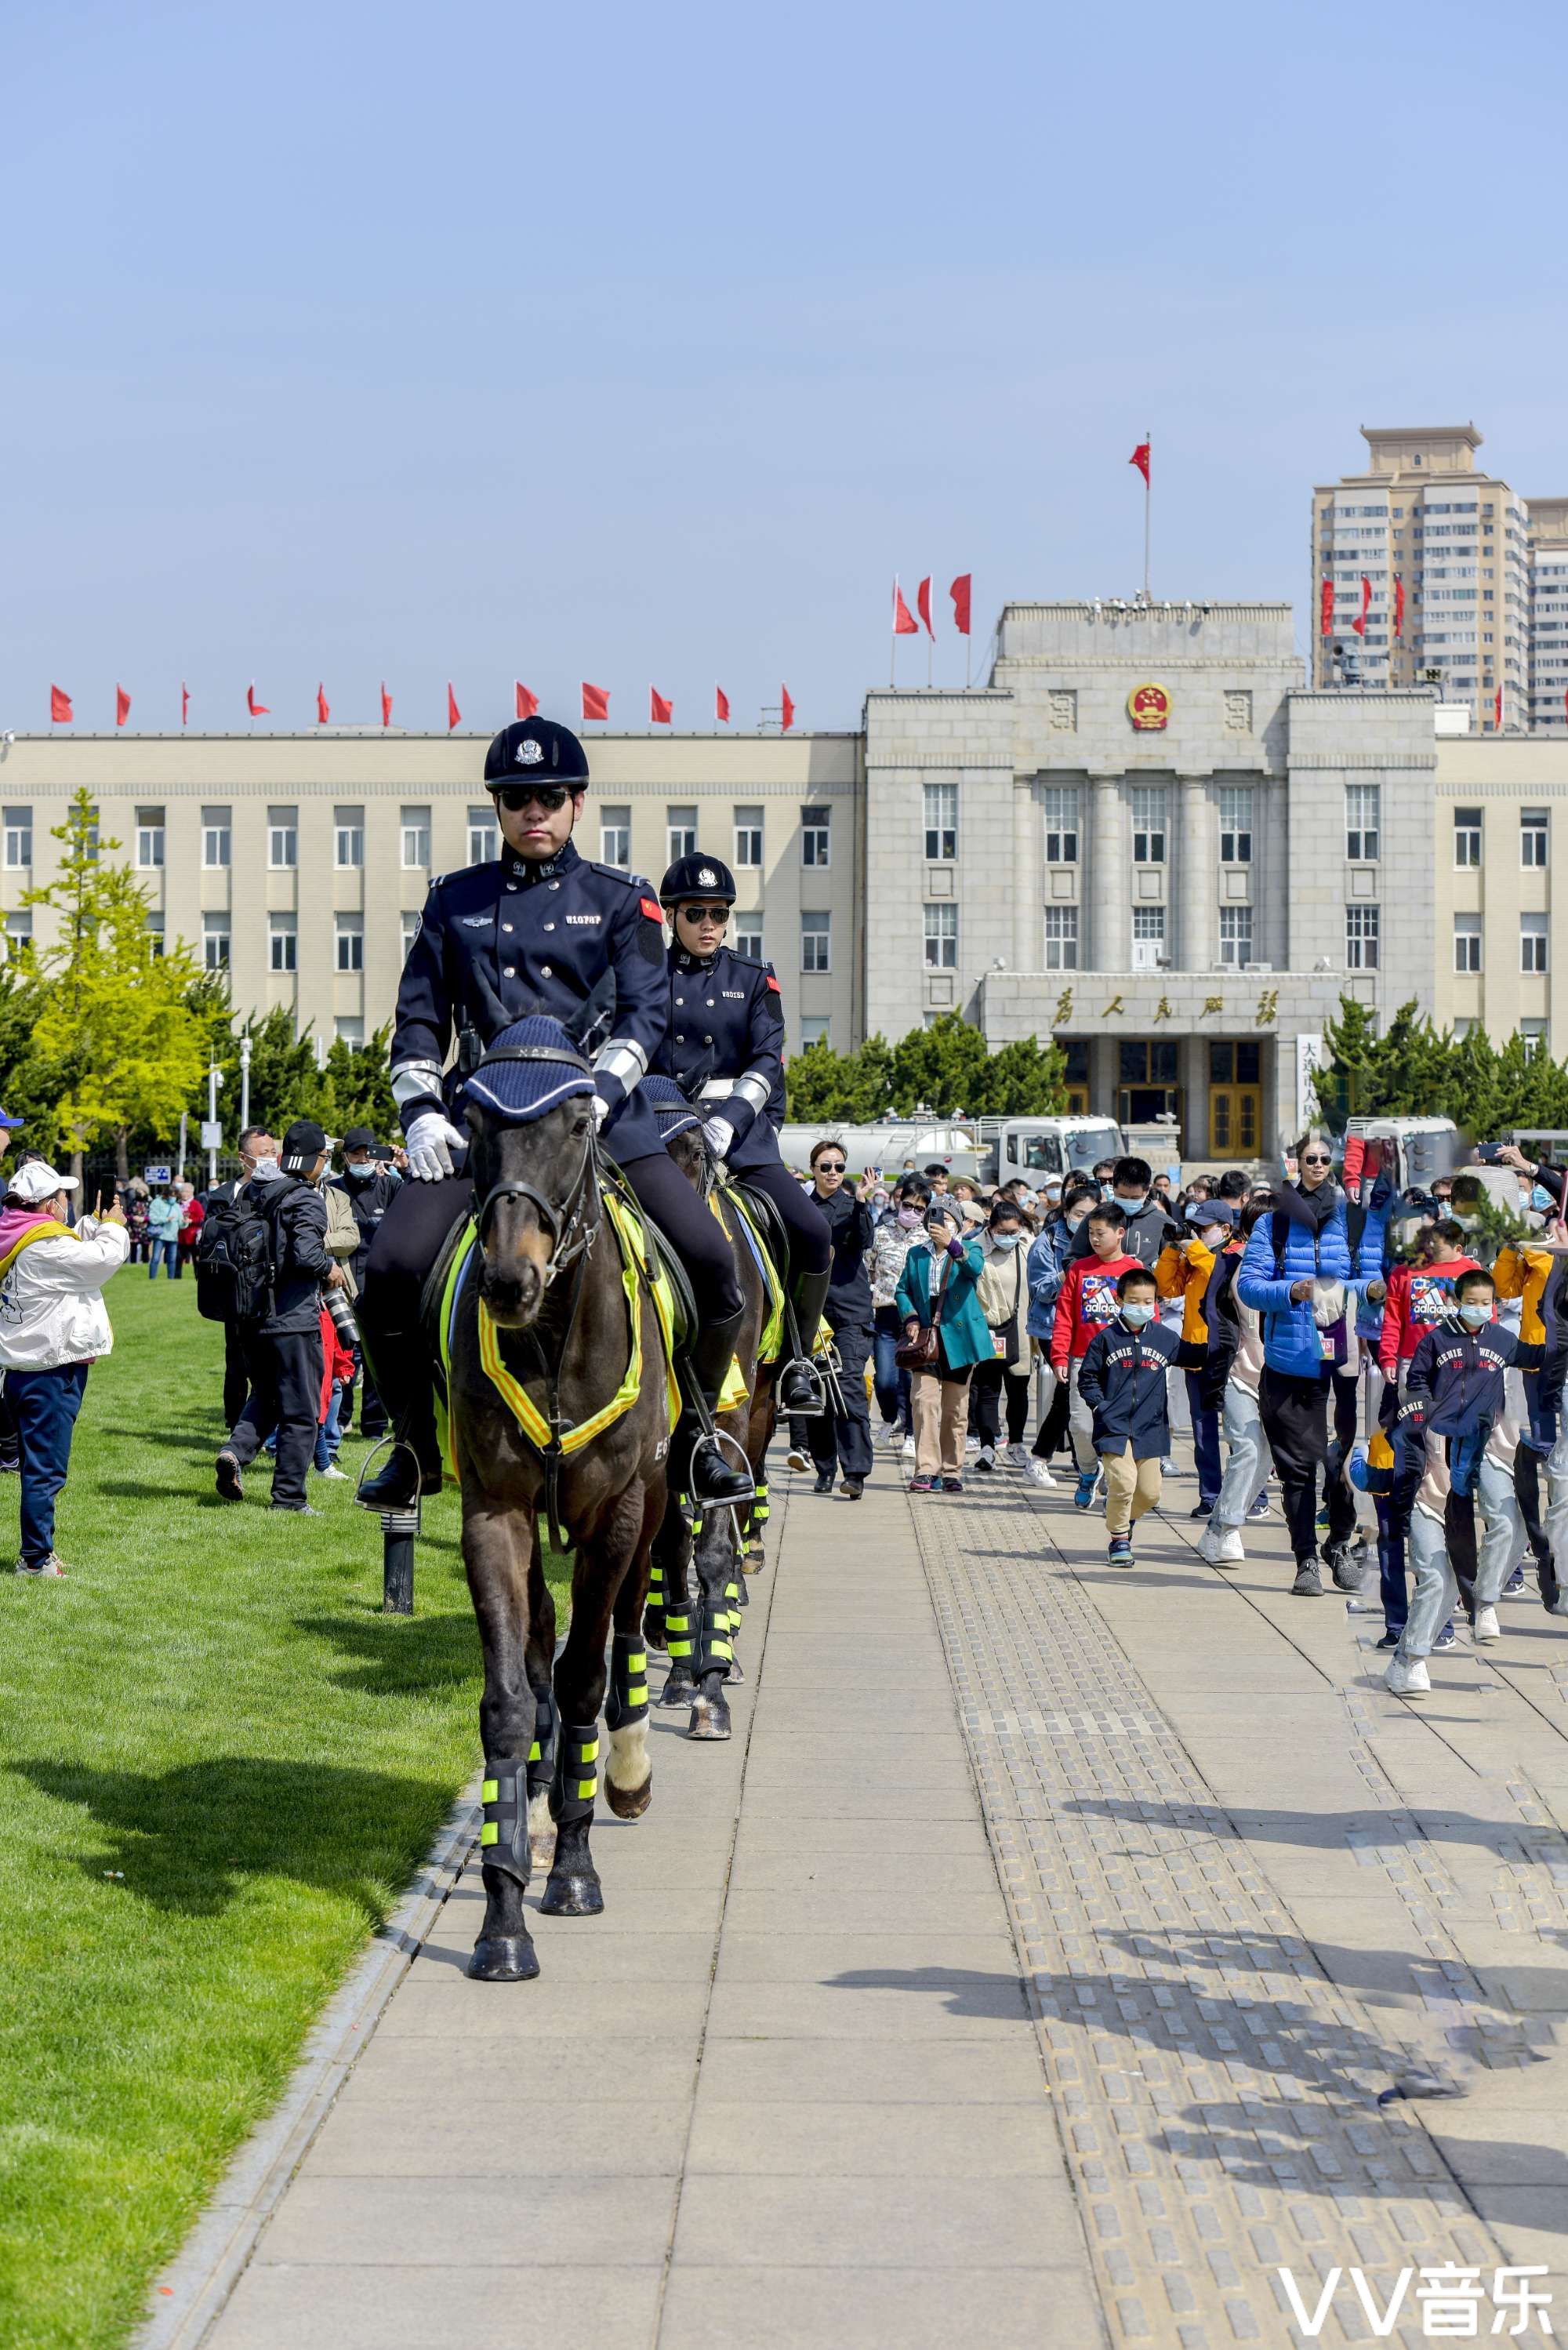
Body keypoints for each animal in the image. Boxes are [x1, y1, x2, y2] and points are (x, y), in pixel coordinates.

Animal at [451, 1081, 677, 1983]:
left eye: (580, 1123)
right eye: (471, 1121)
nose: (509, 1280)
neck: (551, 1336)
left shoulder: (618, 1511)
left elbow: (586, 1676)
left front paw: (575, 1869)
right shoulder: (493, 1512)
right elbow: (510, 1701)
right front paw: (503, 1913)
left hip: (654, 1497)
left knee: (629, 1622)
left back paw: (627, 1768)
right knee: (546, 1631)